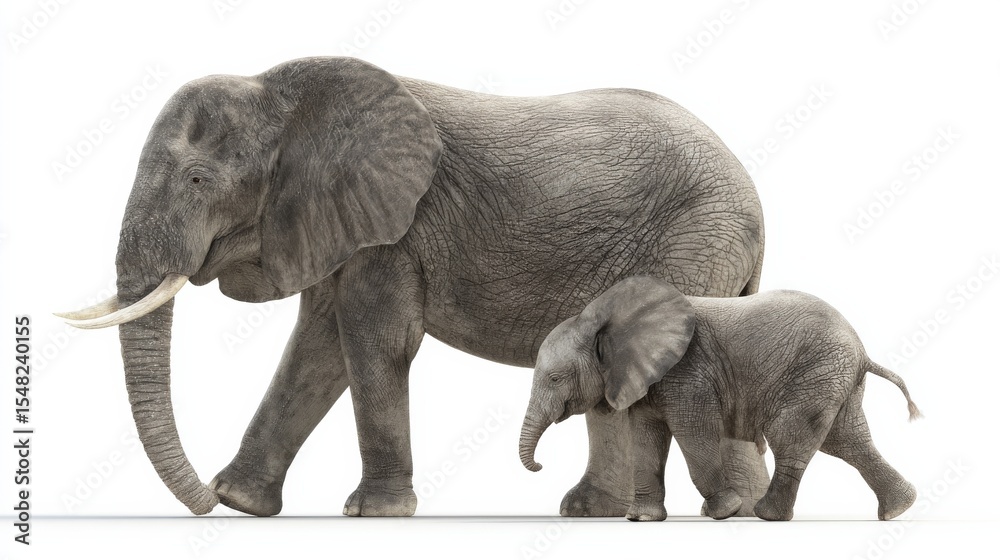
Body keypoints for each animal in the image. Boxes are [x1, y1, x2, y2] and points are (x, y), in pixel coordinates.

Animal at [59, 56, 767, 517]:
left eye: (199, 180)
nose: (202, 501)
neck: (287, 95)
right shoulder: (341, 223)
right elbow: (316, 349)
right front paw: (241, 503)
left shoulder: (399, 230)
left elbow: (374, 342)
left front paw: (372, 515)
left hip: (694, 244)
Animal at [519, 276, 920, 521]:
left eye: (555, 378)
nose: (539, 467)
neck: (603, 319)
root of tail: (862, 351)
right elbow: (645, 438)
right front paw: (642, 518)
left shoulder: (689, 372)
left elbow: (694, 434)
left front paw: (726, 511)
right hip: (834, 379)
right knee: (847, 441)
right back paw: (898, 509)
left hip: (816, 373)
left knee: (792, 437)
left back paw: (765, 514)